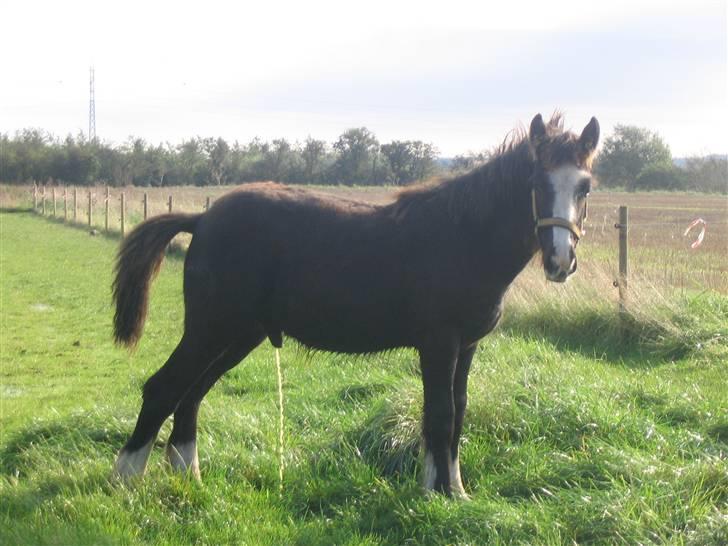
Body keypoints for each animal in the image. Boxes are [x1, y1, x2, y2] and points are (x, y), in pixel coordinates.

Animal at [112, 112, 596, 496]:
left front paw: (452, 489)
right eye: (536, 182)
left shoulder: (467, 347)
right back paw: (126, 482)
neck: (463, 237)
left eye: (585, 187)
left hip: (239, 336)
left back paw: (188, 478)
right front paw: (441, 496)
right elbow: (440, 416)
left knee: (191, 395)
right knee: (163, 388)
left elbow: (457, 414)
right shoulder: (439, 344)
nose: (560, 261)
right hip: (211, 329)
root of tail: (202, 219)